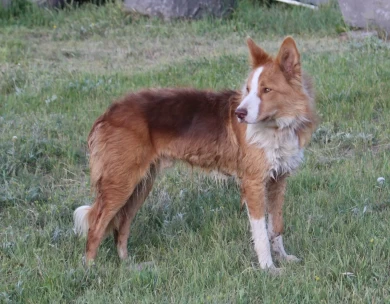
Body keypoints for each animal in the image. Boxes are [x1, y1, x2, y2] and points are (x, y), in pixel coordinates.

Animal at [74, 36, 316, 272]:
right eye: (248, 89)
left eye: (266, 90)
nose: (239, 114)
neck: (277, 126)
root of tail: (109, 112)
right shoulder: (254, 183)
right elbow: (261, 233)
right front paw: (268, 268)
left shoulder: (278, 180)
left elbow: (276, 226)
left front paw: (282, 257)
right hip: (120, 184)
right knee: (96, 227)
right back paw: (90, 271)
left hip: (140, 186)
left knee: (121, 227)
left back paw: (129, 265)